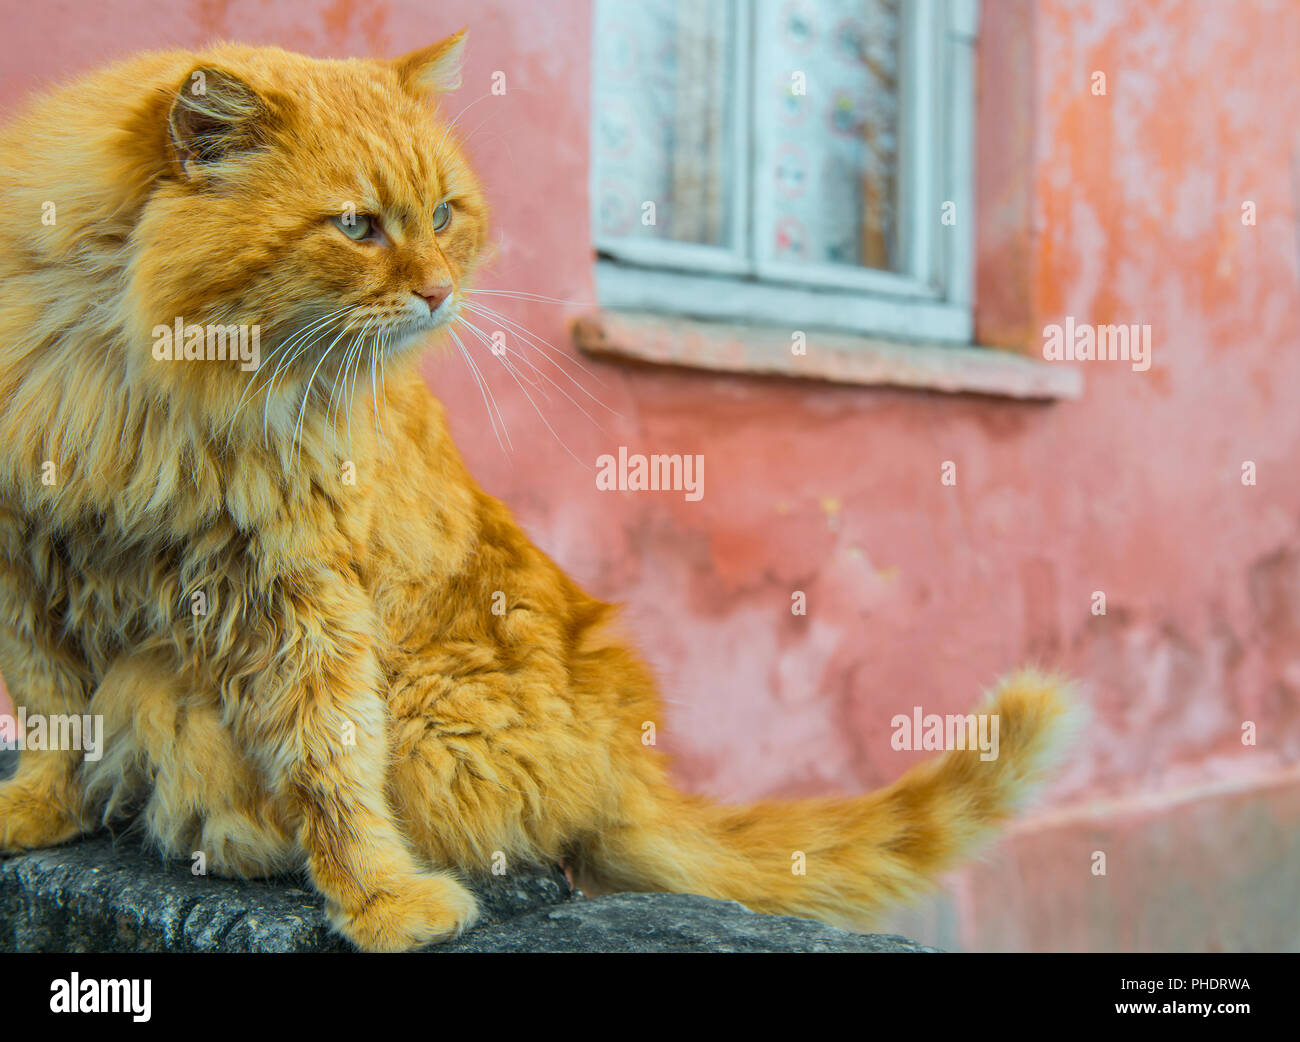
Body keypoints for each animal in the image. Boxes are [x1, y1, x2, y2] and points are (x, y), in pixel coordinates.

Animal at [0, 34, 1076, 951]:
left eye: (443, 214)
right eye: (355, 226)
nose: (439, 293)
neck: (131, 375)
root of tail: (626, 766)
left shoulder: (297, 588)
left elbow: (330, 763)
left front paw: (380, 897)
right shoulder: (29, 559)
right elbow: (49, 712)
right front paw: (37, 810)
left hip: (396, 698)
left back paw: (226, 833)